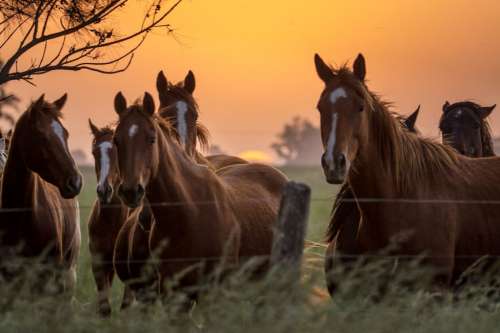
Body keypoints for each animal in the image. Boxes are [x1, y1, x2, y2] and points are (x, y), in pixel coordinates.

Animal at [112, 92, 288, 304]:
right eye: (116, 140)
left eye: (151, 139)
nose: (131, 191)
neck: (187, 213)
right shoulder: (174, 293)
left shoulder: (212, 291)